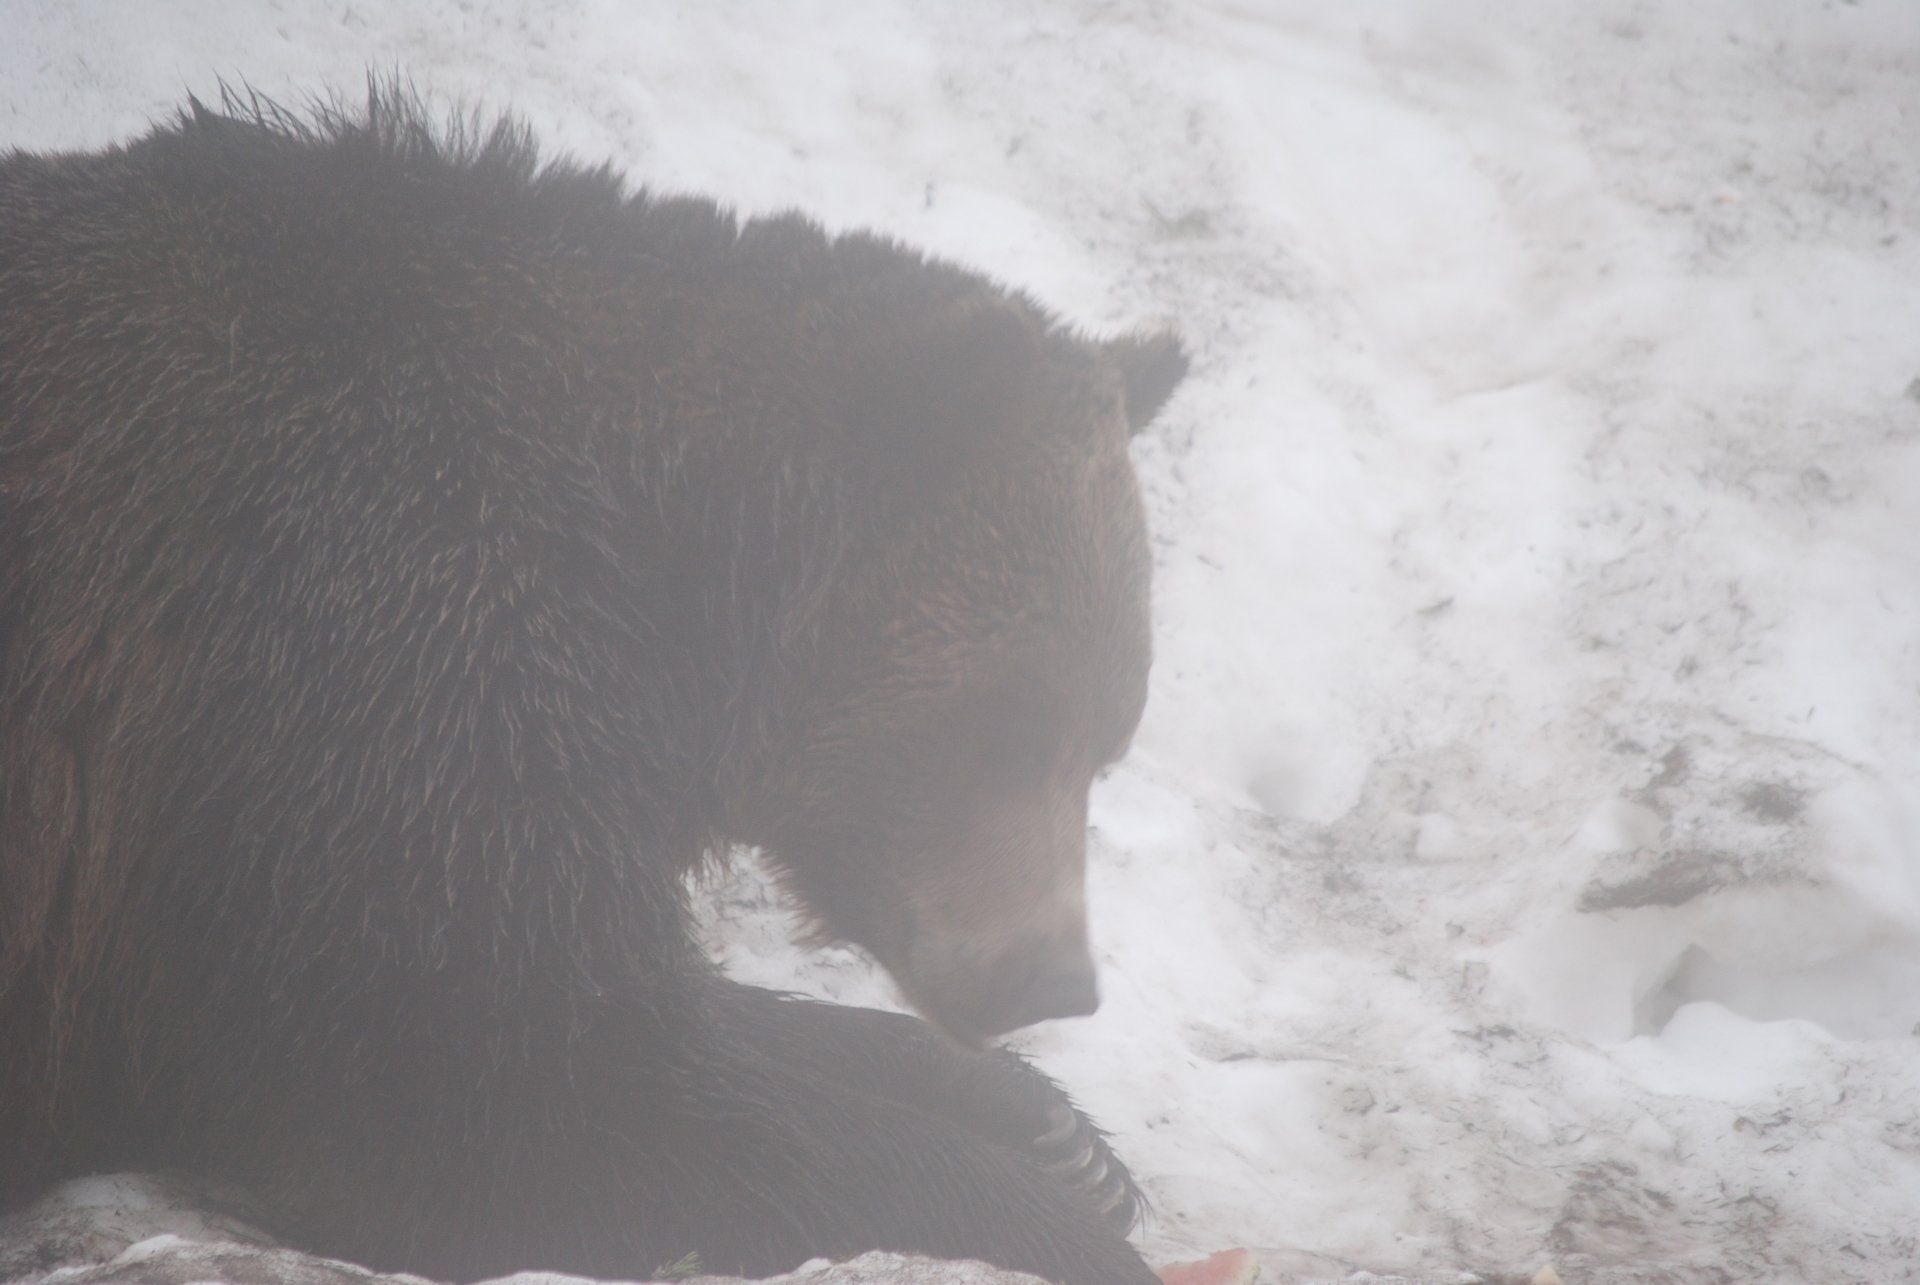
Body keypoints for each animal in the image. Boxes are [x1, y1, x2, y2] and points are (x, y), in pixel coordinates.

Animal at [0, 90, 1188, 1285]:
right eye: (1001, 727)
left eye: (1107, 743)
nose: (1054, 979)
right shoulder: (355, 663)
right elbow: (521, 1104)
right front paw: (1053, 1215)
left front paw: (1052, 1128)